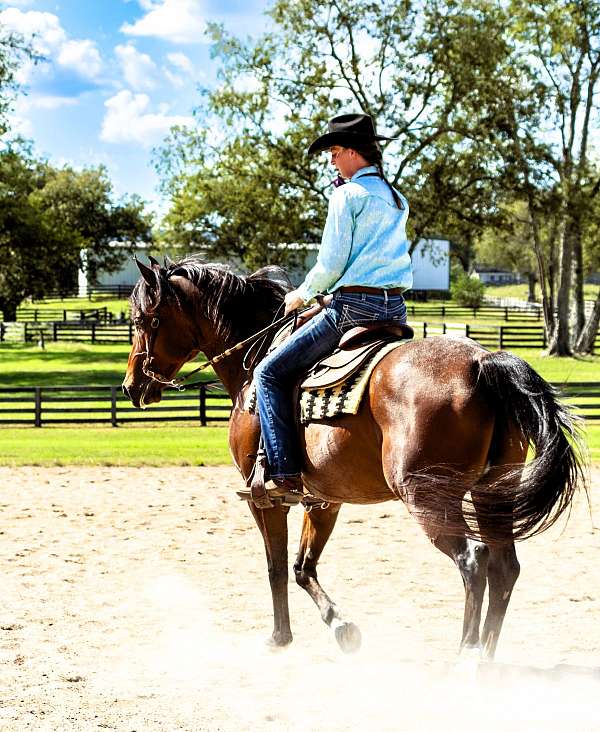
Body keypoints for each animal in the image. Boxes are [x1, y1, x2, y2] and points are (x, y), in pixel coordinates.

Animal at [122, 256, 584, 656]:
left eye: (145, 320)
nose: (131, 385)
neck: (254, 362)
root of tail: (481, 362)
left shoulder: (264, 498)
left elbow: (275, 566)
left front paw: (279, 636)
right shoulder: (323, 499)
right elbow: (302, 566)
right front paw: (341, 626)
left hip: (428, 496)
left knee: (473, 561)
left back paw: (466, 656)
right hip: (493, 491)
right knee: (504, 566)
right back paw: (486, 658)